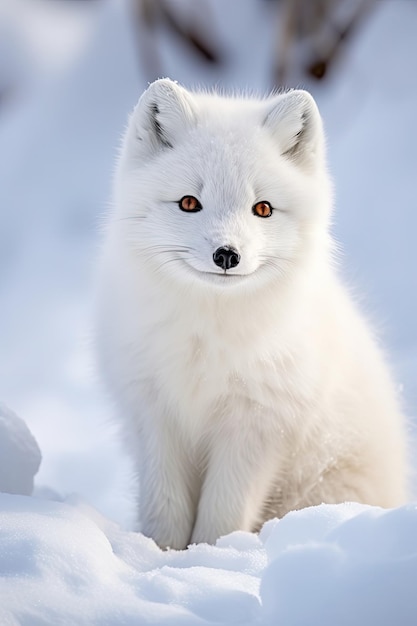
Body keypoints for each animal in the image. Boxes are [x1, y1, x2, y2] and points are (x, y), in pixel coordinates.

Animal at [96, 77, 408, 544]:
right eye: (189, 203)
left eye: (262, 208)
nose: (227, 254)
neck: (207, 338)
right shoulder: (154, 415)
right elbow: (165, 508)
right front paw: (160, 553)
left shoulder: (256, 426)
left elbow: (222, 515)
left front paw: (212, 554)